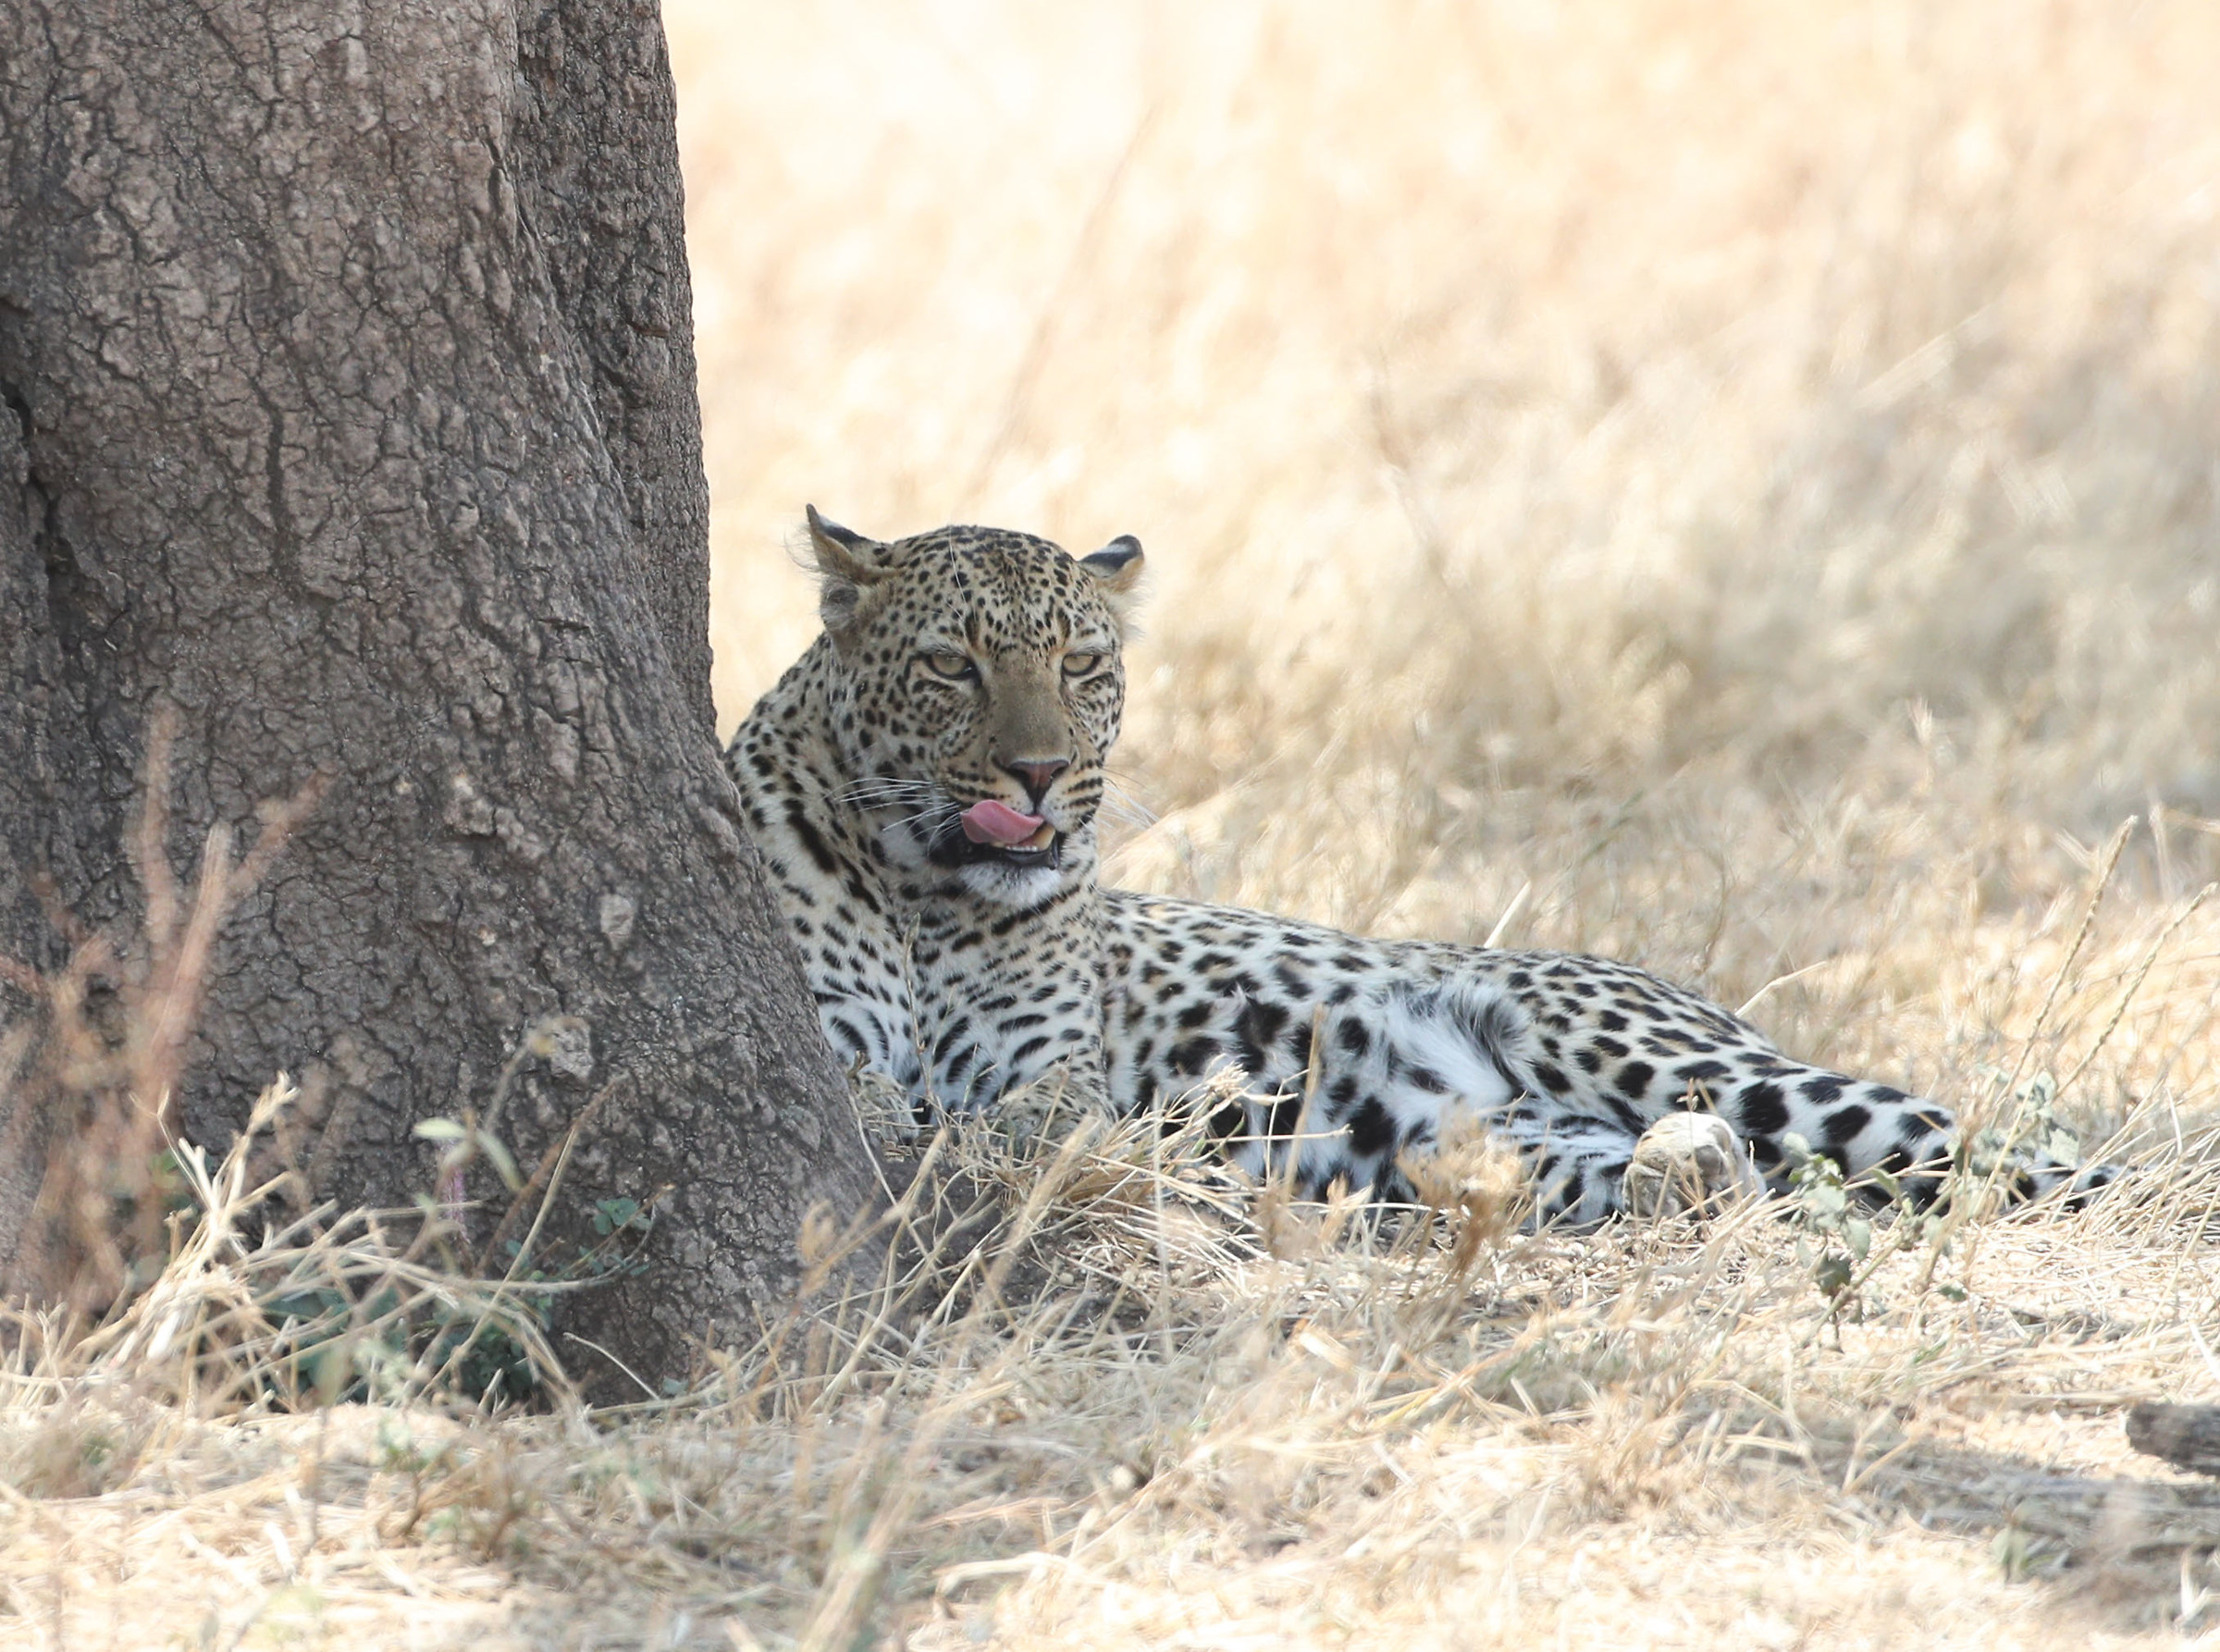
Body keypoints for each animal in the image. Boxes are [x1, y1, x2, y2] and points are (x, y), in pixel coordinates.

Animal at [724, 509, 2114, 1225]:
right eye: (951, 666)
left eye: (1082, 665)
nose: (1037, 773)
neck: (929, 898)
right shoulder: (835, 1037)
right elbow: (880, 1103)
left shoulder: (1050, 1073)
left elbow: (1010, 1122)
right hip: (1513, 1147)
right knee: (1711, 1178)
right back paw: (1684, 1172)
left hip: (1686, 1057)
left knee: (2017, 1155)